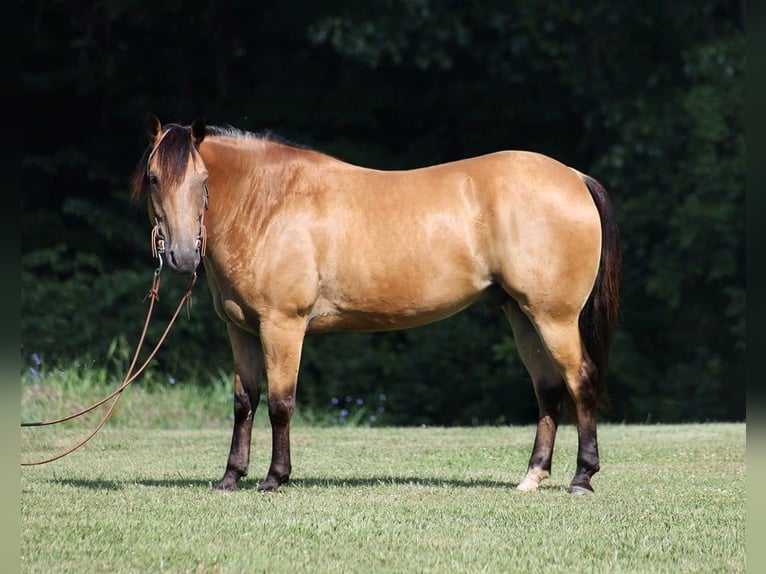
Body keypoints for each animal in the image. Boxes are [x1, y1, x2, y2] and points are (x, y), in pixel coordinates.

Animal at [130, 115, 621, 495]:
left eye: (202, 181)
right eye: (154, 179)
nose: (182, 256)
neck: (269, 204)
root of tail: (574, 177)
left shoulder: (282, 325)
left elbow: (280, 403)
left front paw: (274, 478)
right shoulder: (242, 329)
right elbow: (243, 402)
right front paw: (231, 477)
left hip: (554, 318)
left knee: (580, 381)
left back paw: (582, 478)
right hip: (522, 316)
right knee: (548, 389)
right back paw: (532, 477)